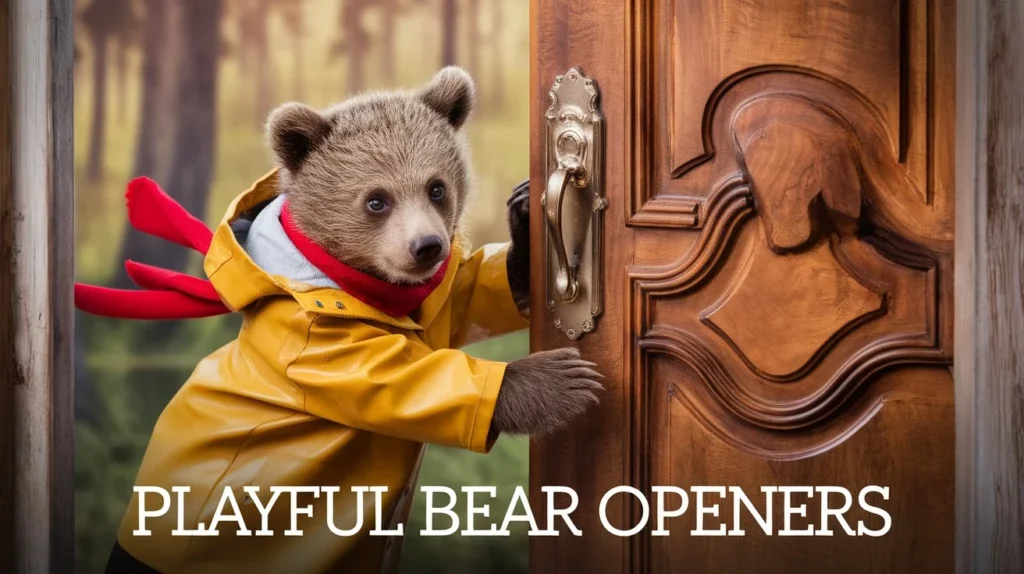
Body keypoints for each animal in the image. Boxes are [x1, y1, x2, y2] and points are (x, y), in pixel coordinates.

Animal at [90, 67, 603, 574]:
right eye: (376, 200)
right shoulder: (316, 342)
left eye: (436, 187)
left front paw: (526, 214)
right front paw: (562, 378)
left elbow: (470, 291)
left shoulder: (429, 302)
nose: (427, 247)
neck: (356, 286)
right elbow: (402, 380)